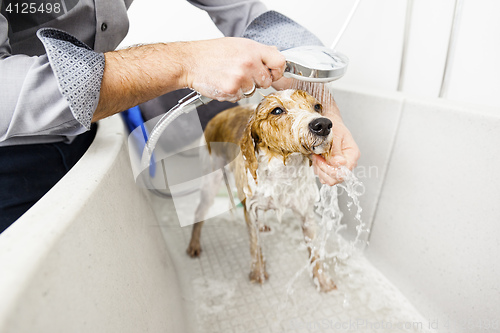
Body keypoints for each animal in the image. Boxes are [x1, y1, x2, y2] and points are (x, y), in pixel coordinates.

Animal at [187, 89, 336, 292]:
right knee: (199, 212)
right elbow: (255, 245)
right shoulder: (250, 209)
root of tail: (218, 115)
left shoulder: (306, 213)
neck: (283, 172)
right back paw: (194, 244)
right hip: (211, 180)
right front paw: (258, 273)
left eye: (317, 106)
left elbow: (315, 252)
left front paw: (322, 280)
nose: (322, 124)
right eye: (277, 110)